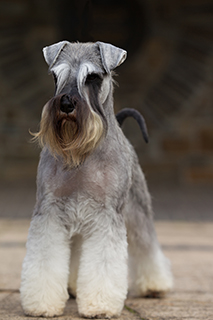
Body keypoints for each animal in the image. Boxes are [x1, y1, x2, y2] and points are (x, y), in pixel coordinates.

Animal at [20, 40, 173, 318]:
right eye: (56, 76)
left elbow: (103, 264)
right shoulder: (50, 212)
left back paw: (155, 285)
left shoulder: (106, 216)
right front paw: (43, 304)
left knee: (147, 246)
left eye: (92, 77)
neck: (80, 154)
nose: (66, 104)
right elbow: (45, 259)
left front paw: (99, 305)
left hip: (137, 212)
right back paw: (72, 286)